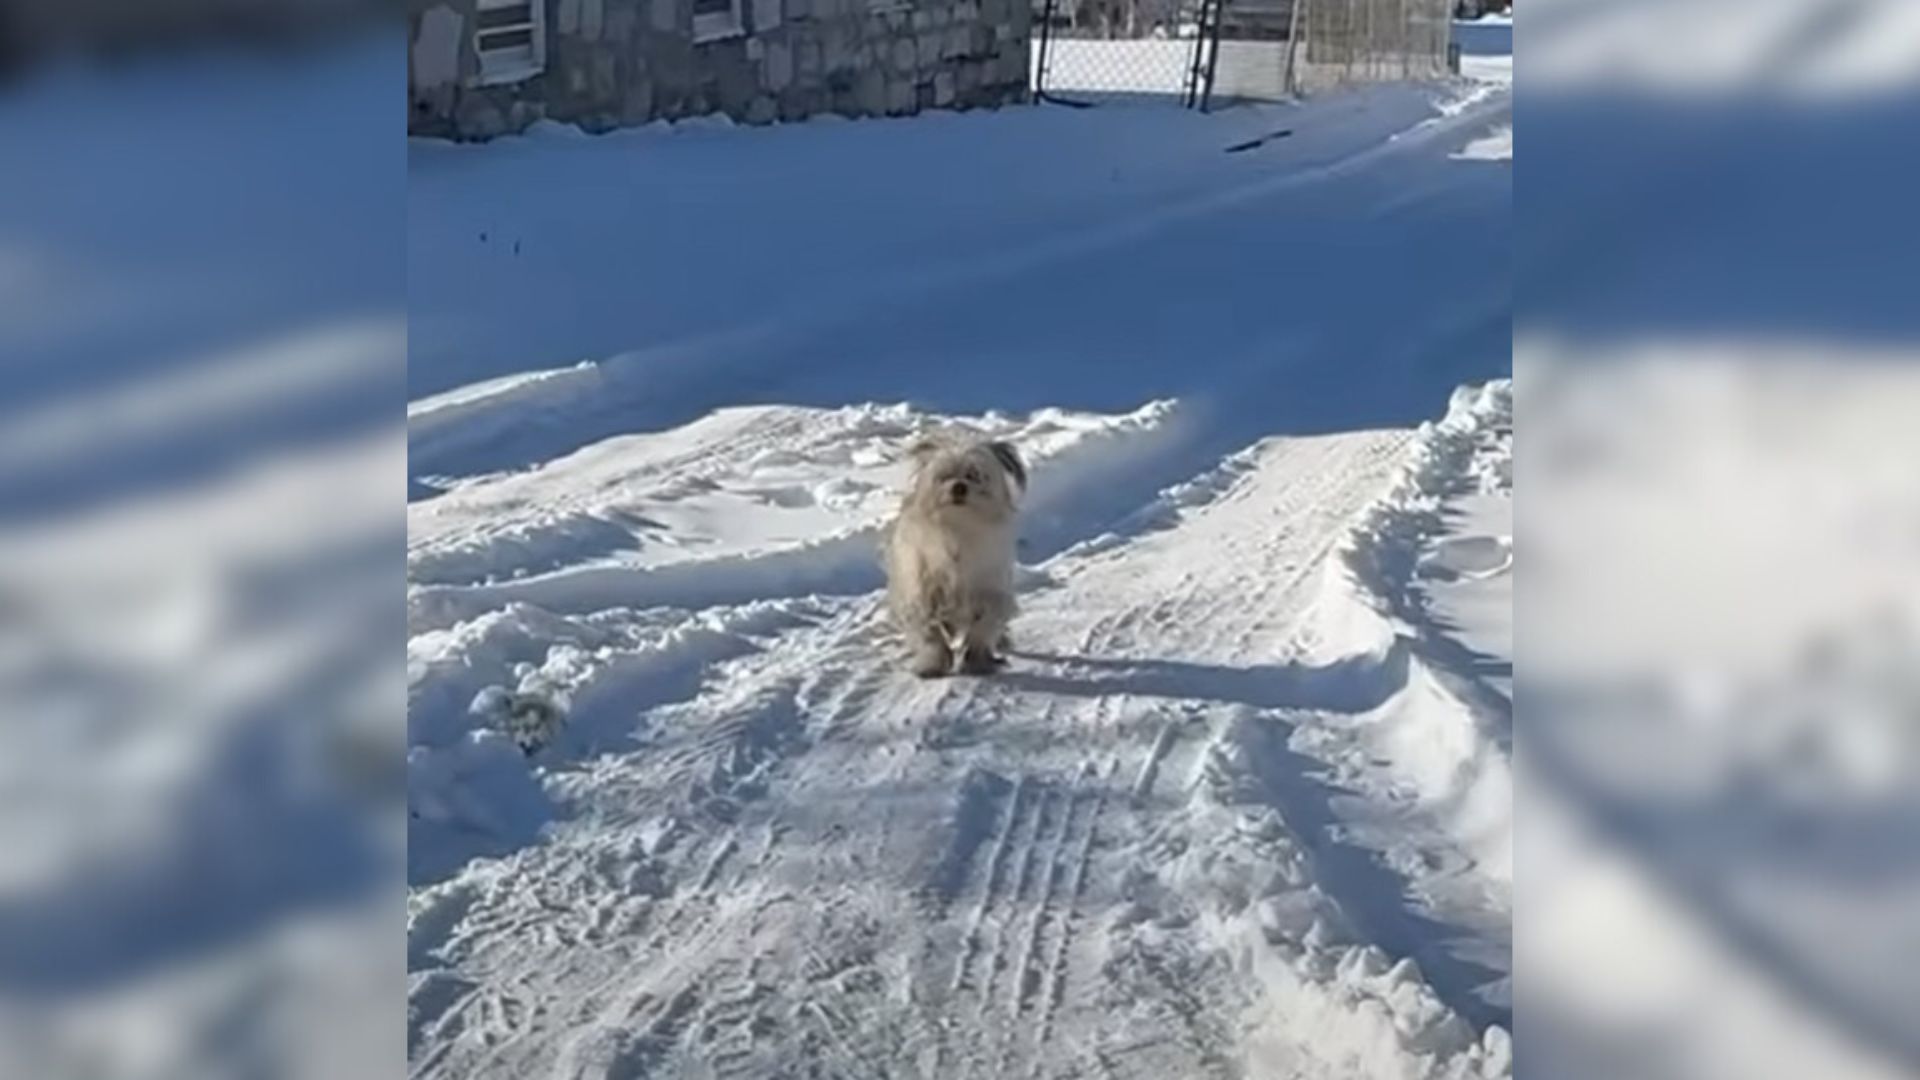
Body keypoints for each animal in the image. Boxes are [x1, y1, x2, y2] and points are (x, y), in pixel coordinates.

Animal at [883, 428, 1029, 672]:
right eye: (944, 475)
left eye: (974, 474)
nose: (958, 486)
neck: (958, 529)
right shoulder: (924, 591)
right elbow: (929, 631)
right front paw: (932, 662)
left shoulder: (989, 590)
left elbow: (984, 624)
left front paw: (977, 658)